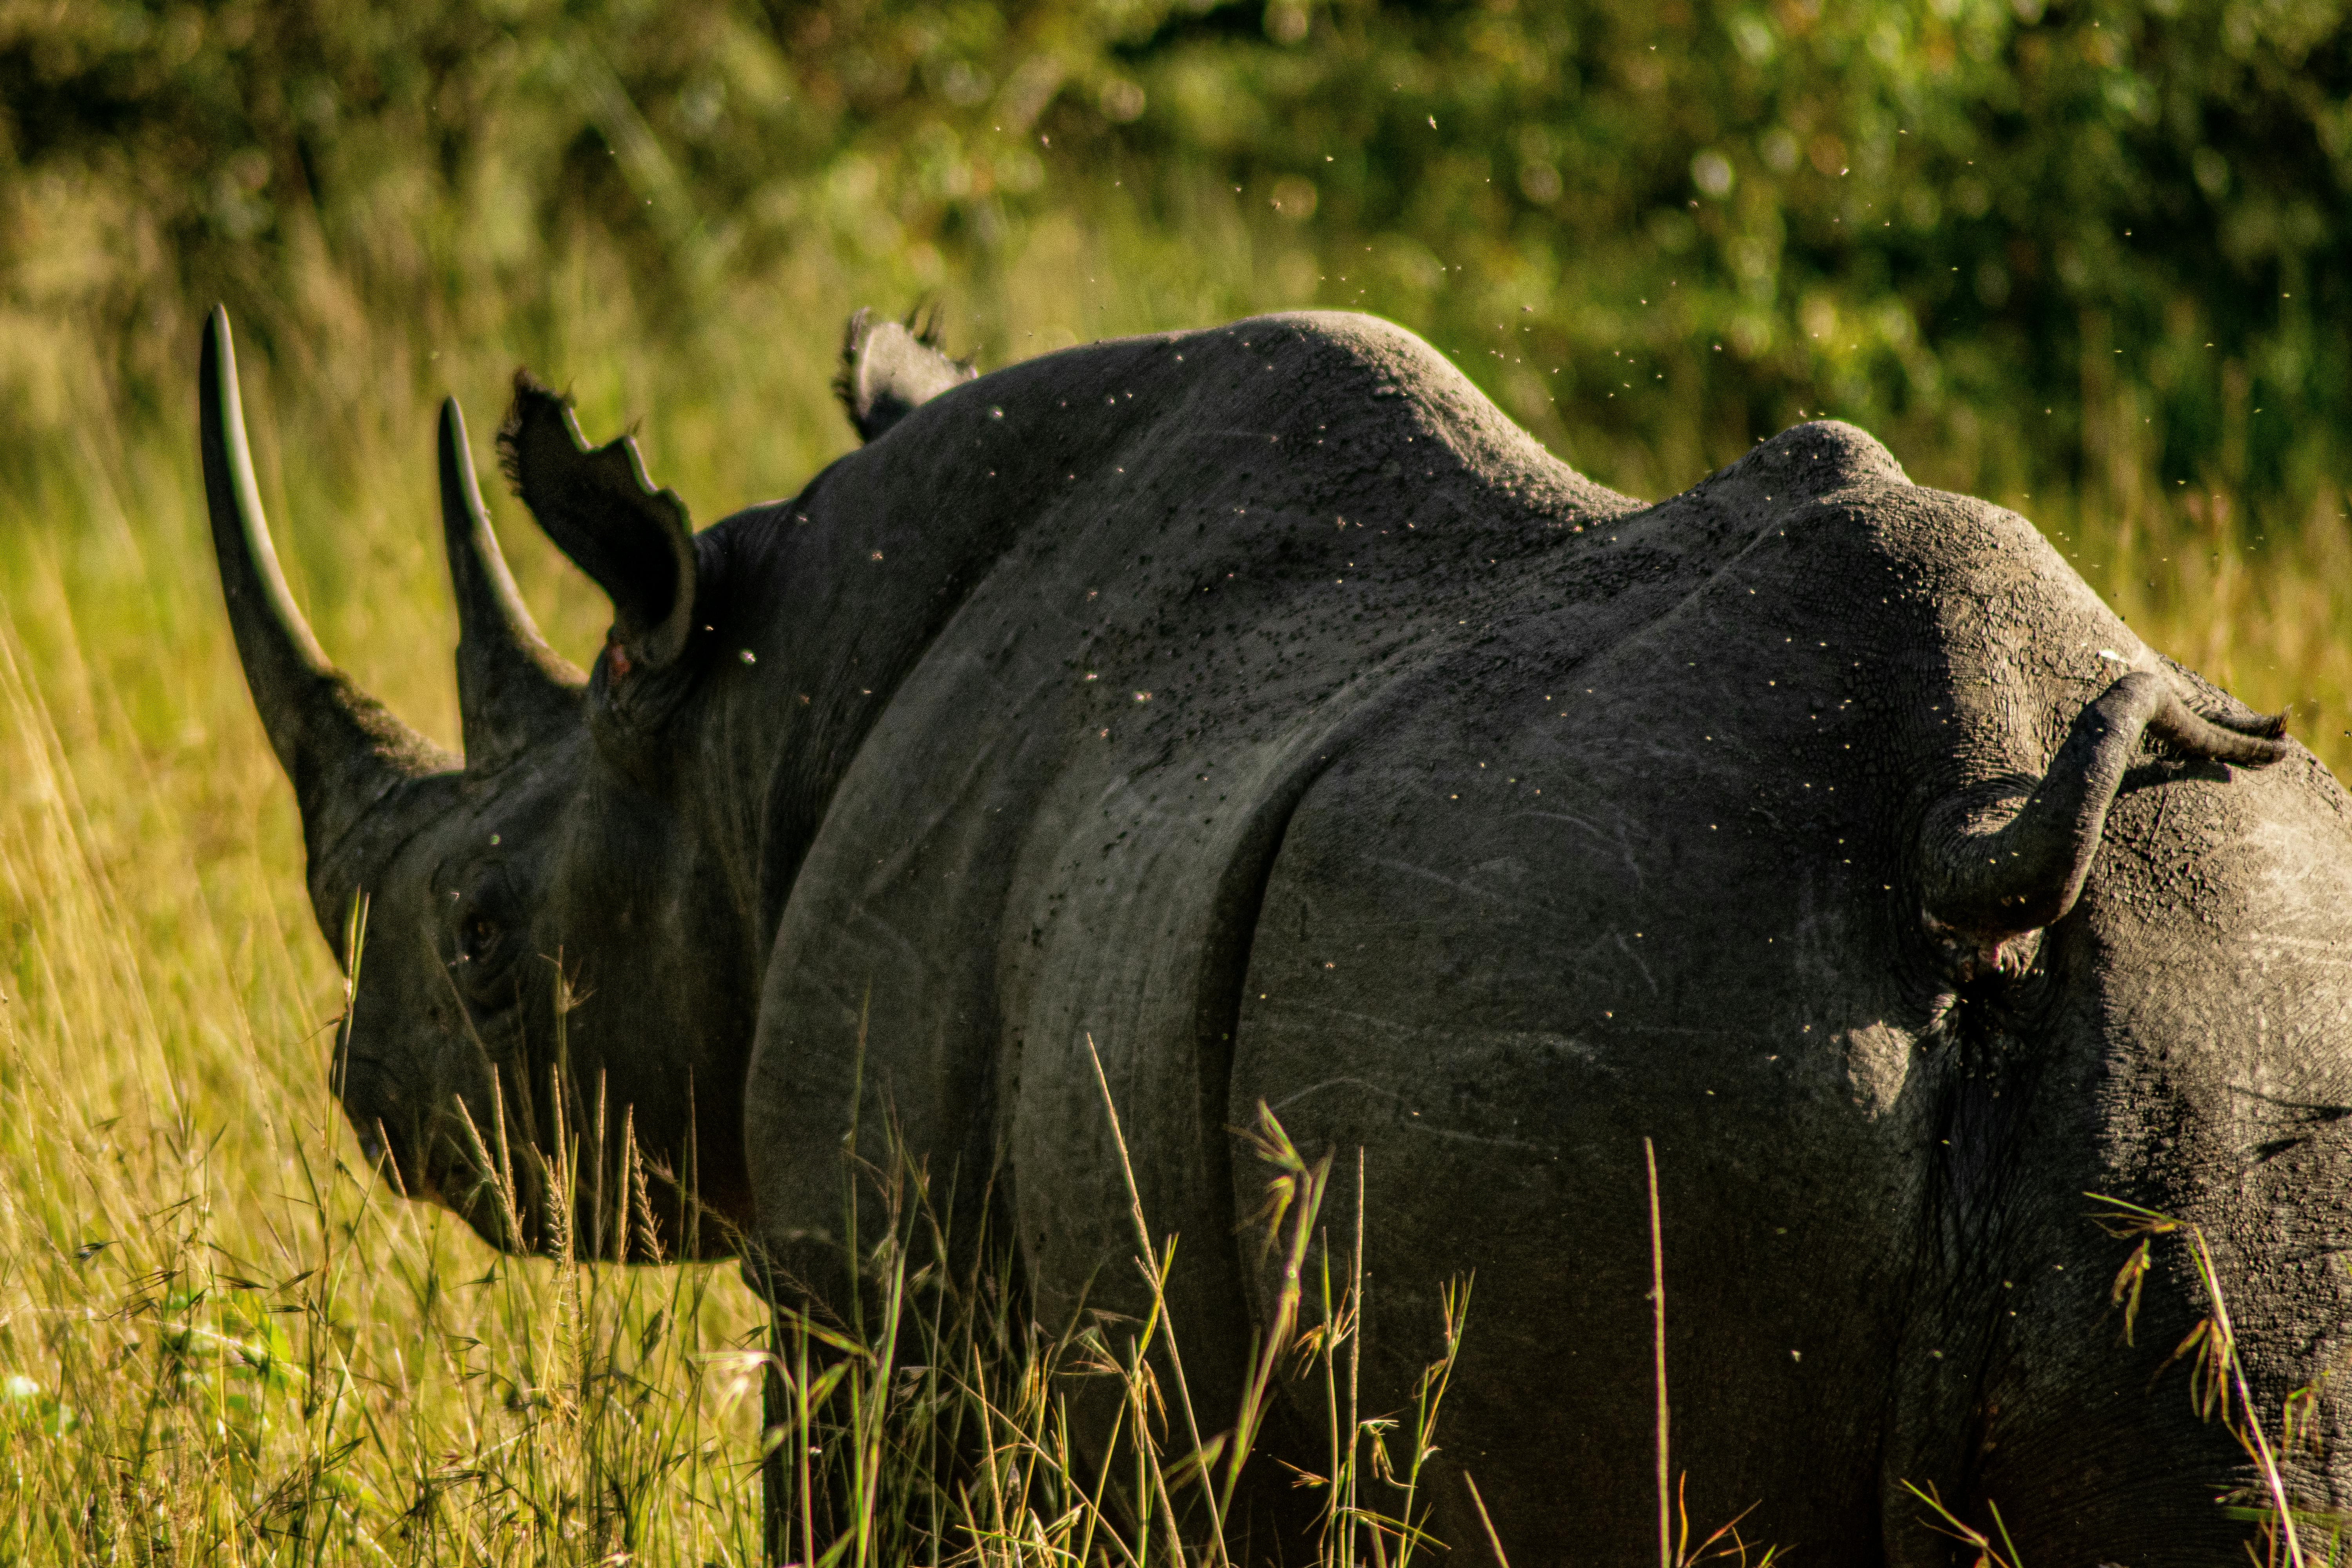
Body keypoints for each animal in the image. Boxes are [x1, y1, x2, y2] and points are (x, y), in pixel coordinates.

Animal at [201, 299, 2352, 1565]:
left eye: (480, 940)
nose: (366, 1089)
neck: (746, 726)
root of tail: (1978, 827)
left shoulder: (866, 1304)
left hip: (1593, 1026)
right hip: (2233, 998)